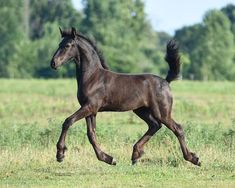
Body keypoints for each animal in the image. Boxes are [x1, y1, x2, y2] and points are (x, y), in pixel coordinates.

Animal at [49, 26, 200, 166]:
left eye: (67, 45)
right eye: (59, 44)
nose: (53, 63)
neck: (93, 77)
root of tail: (166, 81)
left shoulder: (90, 106)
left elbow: (68, 121)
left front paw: (60, 154)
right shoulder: (91, 110)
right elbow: (91, 134)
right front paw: (108, 159)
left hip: (162, 112)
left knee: (177, 128)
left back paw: (193, 158)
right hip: (141, 110)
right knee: (155, 125)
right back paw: (136, 154)